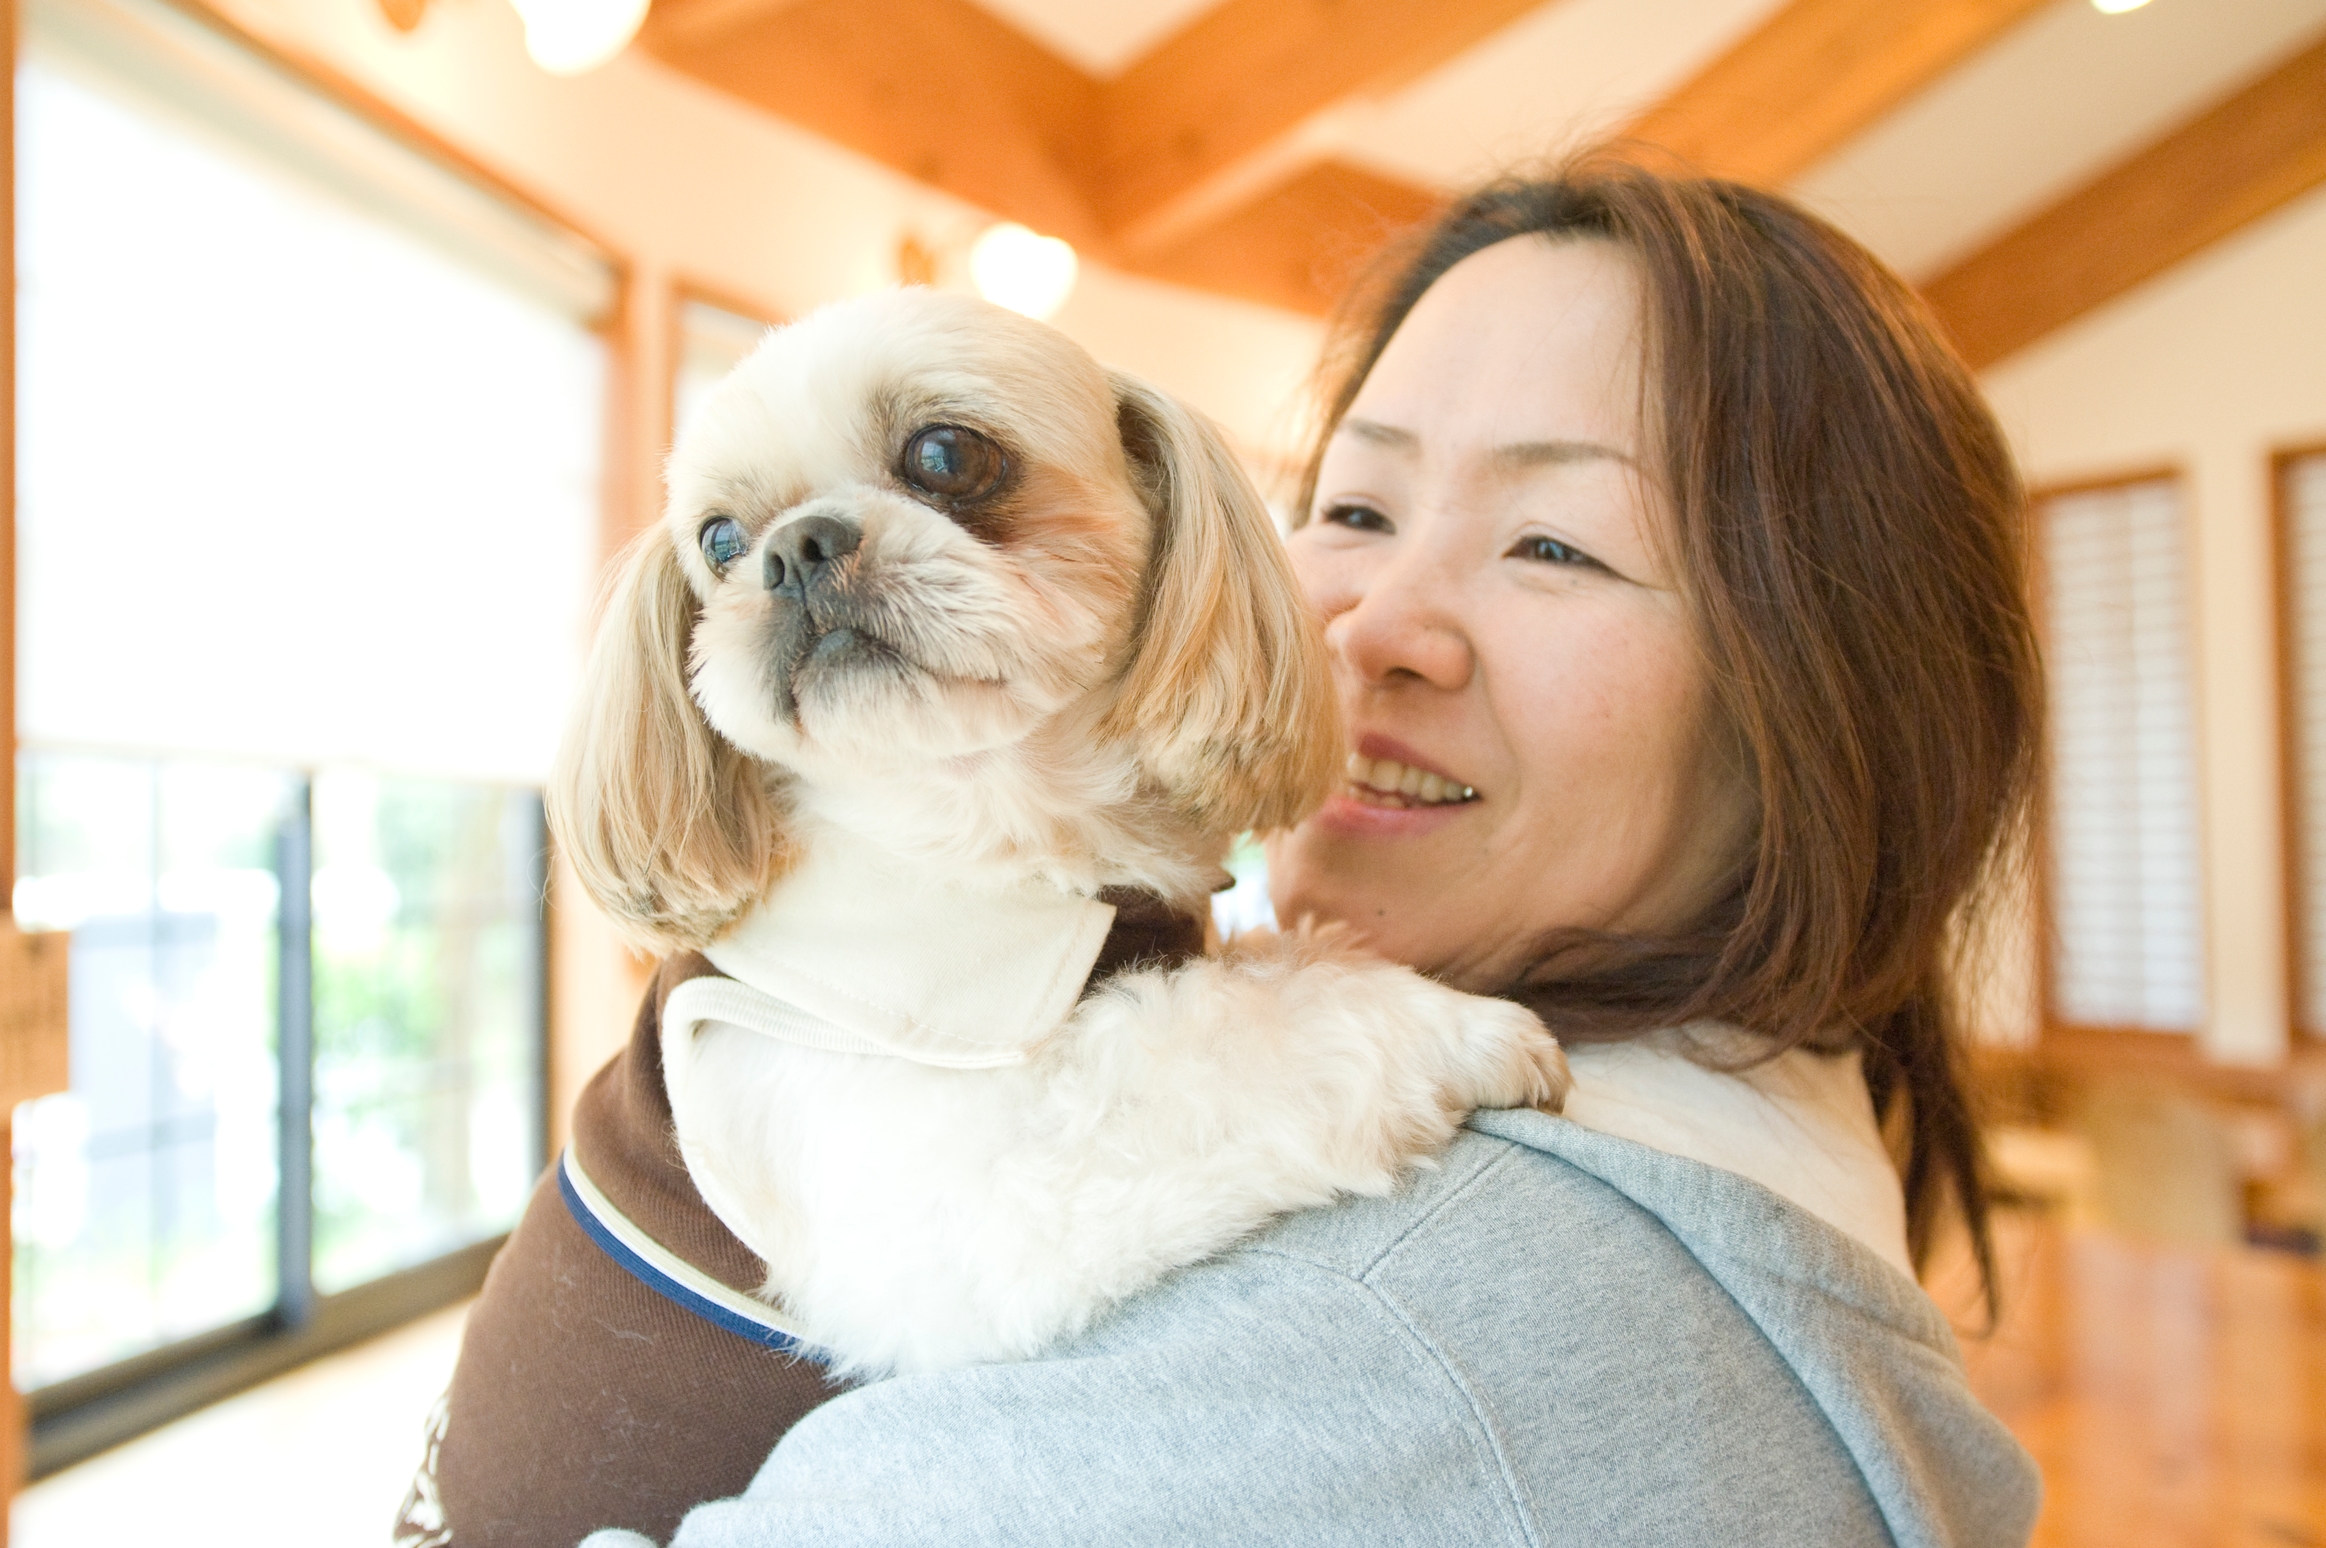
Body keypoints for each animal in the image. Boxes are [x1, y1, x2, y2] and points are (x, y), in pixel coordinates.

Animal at [544, 289, 1563, 1376]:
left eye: (946, 454)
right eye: (722, 543)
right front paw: (1461, 1029)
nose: (793, 548)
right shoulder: (959, 1194)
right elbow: (1218, 1044)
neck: (989, 830)